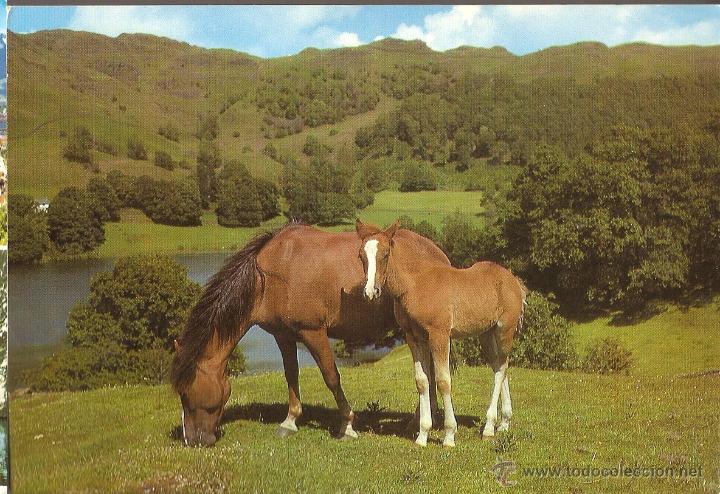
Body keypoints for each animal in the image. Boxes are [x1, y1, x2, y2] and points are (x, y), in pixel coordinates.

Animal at [171, 221, 450, 446]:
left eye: (186, 393)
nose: (192, 440)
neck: (271, 276)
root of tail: (438, 253)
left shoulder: (313, 332)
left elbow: (331, 377)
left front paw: (347, 425)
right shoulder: (283, 336)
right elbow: (291, 375)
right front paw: (290, 421)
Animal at [356, 219, 527, 447]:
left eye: (385, 254)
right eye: (361, 256)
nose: (370, 292)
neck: (416, 284)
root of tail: (514, 281)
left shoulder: (440, 335)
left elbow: (443, 381)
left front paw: (449, 435)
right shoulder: (414, 337)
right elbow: (422, 381)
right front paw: (422, 435)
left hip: (504, 330)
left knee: (501, 368)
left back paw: (490, 427)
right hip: (486, 334)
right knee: (501, 365)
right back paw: (504, 423)